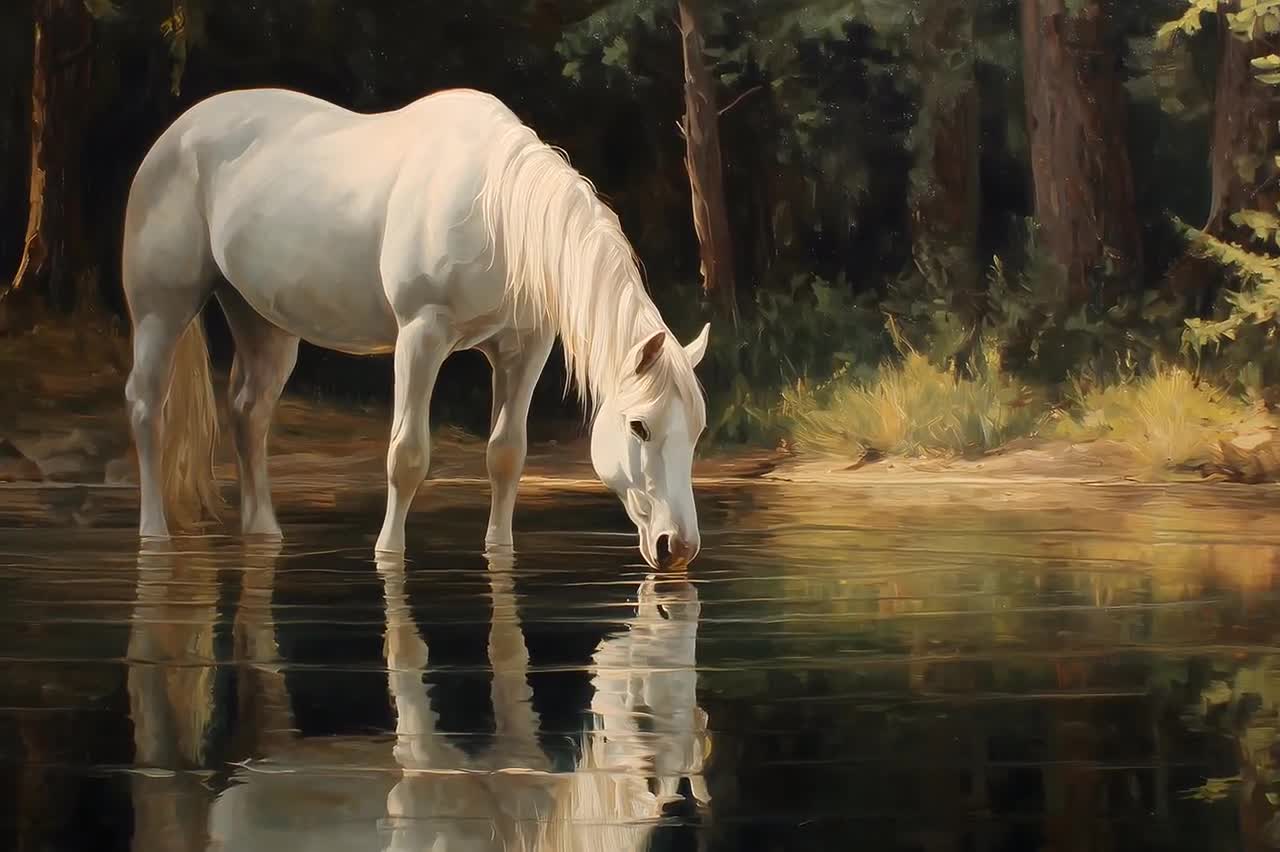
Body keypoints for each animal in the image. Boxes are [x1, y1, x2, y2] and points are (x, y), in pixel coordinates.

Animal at [122, 87, 710, 569]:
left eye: (697, 430)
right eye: (639, 426)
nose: (678, 548)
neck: (496, 211)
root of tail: (174, 135)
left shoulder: (524, 349)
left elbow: (506, 455)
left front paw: (500, 552)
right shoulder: (421, 336)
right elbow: (406, 455)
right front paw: (389, 554)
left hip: (263, 320)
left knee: (250, 412)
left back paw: (264, 533)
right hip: (160, 310)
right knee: (147, 405)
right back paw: (153, 536)